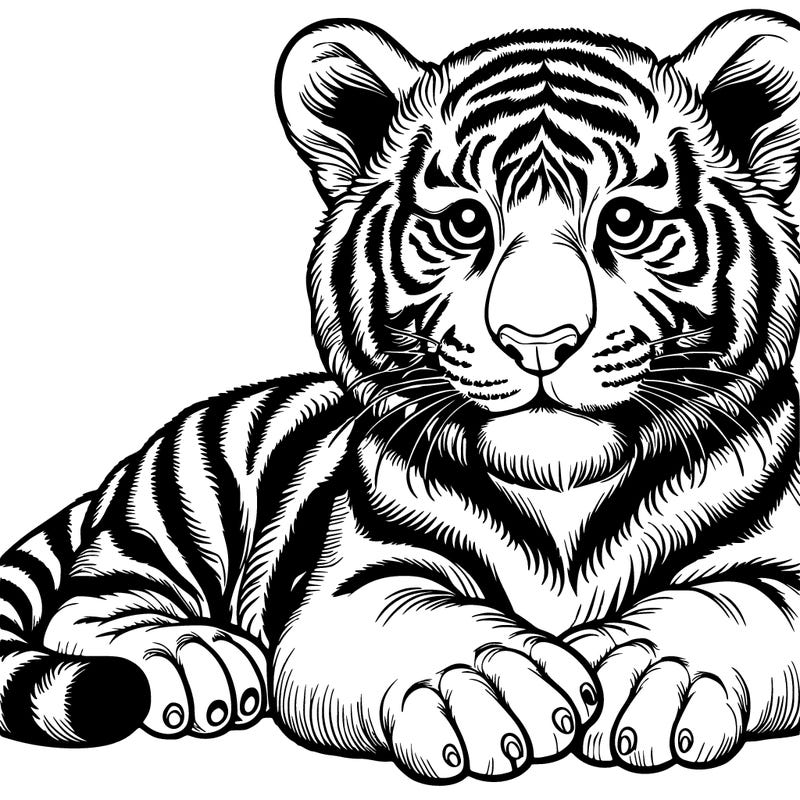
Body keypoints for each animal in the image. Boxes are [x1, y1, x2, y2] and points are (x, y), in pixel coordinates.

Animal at [1, 8, 799, 783]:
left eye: (625, 222)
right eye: (466, 223)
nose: (538, 338)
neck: (560, 488)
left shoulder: (778, 566)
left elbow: (727, 603)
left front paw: (651, 675)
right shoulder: (356, 578)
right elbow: (417, 619)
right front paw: (489, 684)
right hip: (174, 507)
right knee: (94, 605)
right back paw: (199, 659)